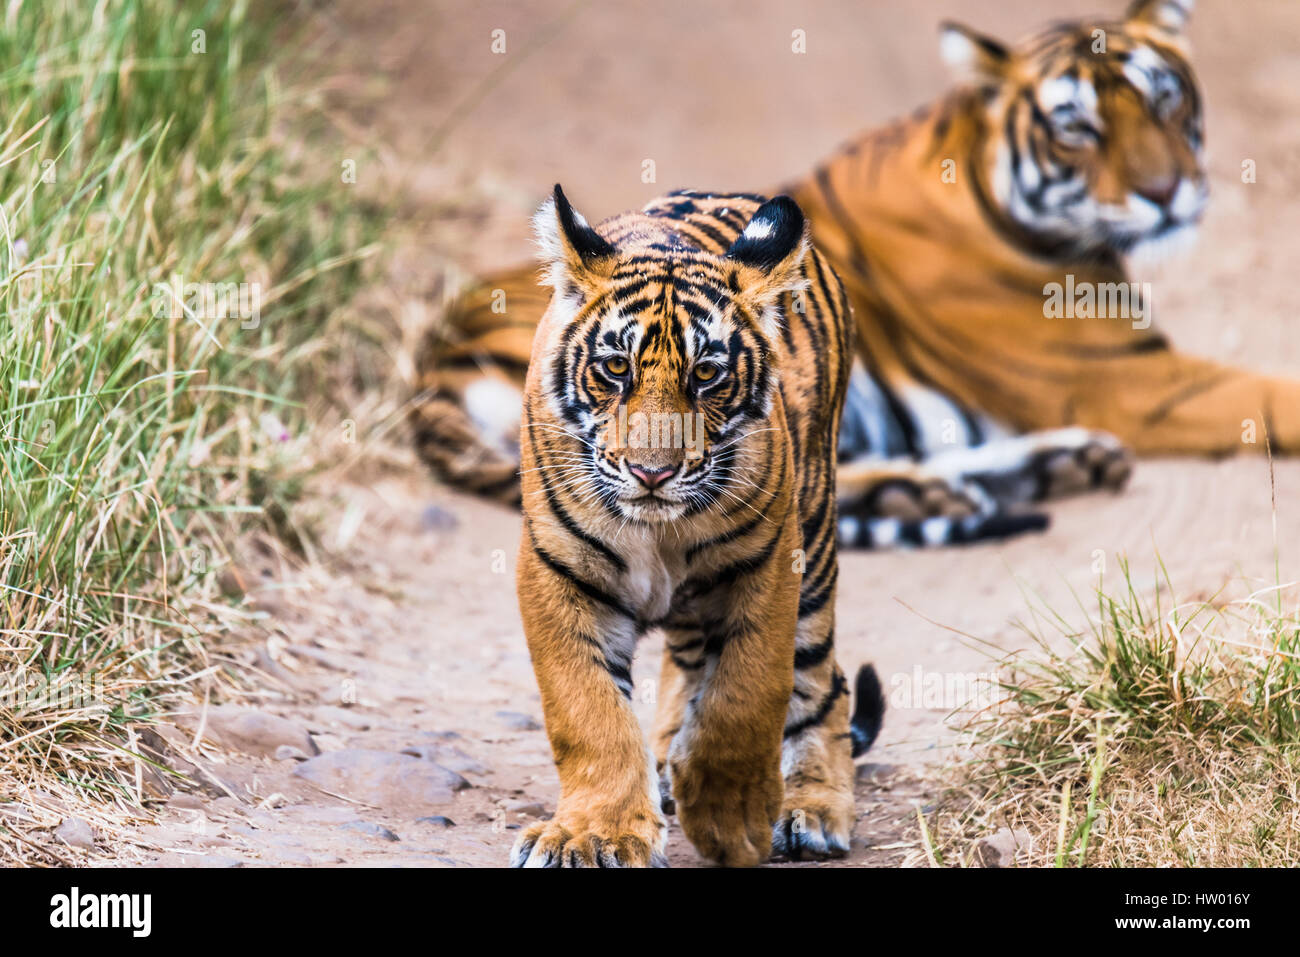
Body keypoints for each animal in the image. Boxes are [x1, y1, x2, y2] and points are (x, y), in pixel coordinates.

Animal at [413, 0, 1300, 530]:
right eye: (1077, 127)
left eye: (1165, 100)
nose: (1167, 192)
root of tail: (432, 353)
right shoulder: (1132, 379)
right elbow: (1275, 392)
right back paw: (939, 489)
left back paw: (1049, 466)